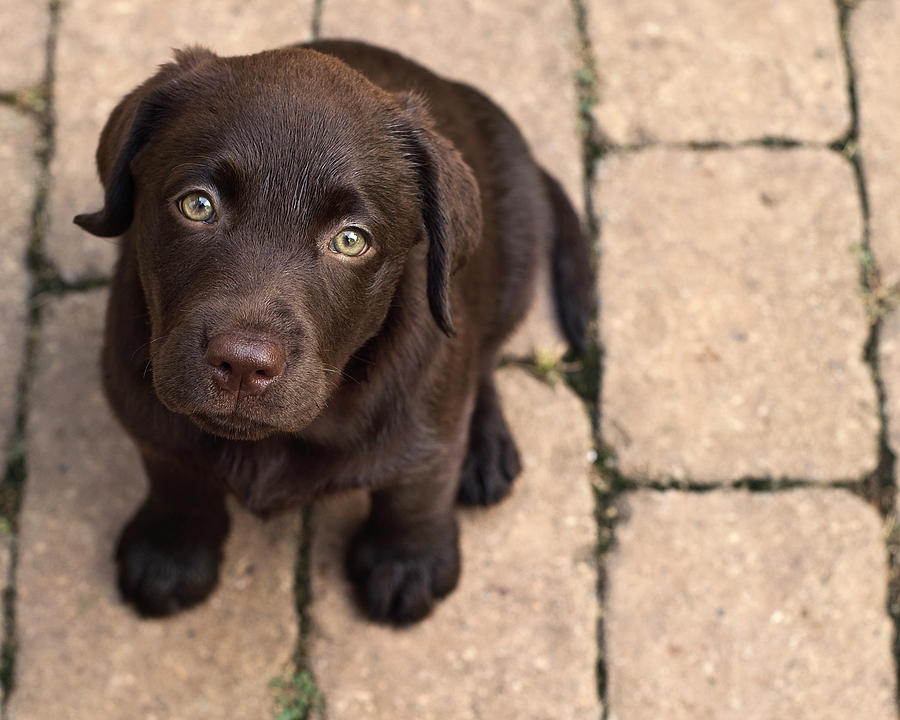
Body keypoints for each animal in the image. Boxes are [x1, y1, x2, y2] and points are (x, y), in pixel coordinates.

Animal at [74, 39, 596, 624]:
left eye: (350, 240)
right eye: (198, 205)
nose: (242, 364)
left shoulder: (425, 418)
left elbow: (418, 486)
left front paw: (409, 562)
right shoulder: (145, 409)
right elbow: (175, 472)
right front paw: (171, 553)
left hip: (516, 269)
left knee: (482, 361)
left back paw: (486, 447)